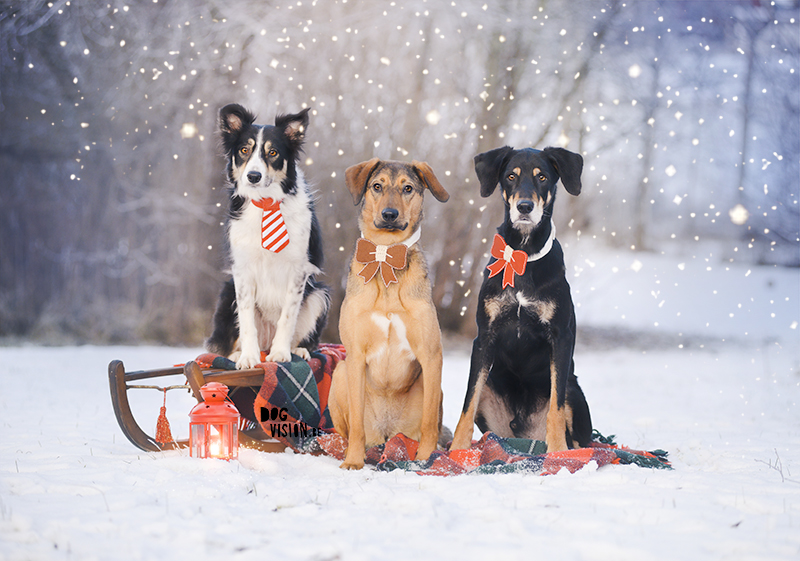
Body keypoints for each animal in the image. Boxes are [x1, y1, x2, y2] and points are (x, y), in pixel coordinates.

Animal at [209, 104, 332, 368]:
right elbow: (246, 320)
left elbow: (287, 317)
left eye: (273, 152)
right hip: (227, 293)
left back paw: (297, 350)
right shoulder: (242, 271)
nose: (253, 176)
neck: (266, 203)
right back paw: (239, 353)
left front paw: (281, 353)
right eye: (244, 150)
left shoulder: (298, 271)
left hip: (319, 294)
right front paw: (248, 357)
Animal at [326, 158, 450, 468]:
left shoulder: (432, 356)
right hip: (341, 373)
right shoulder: (355, 356)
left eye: (408, 188)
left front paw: (426, 459)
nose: (389, 214)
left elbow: (430, 423)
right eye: (376, 186)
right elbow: (356, 425)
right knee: (348, 431)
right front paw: (354, 460)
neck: (385, 257)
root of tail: (387, 434)